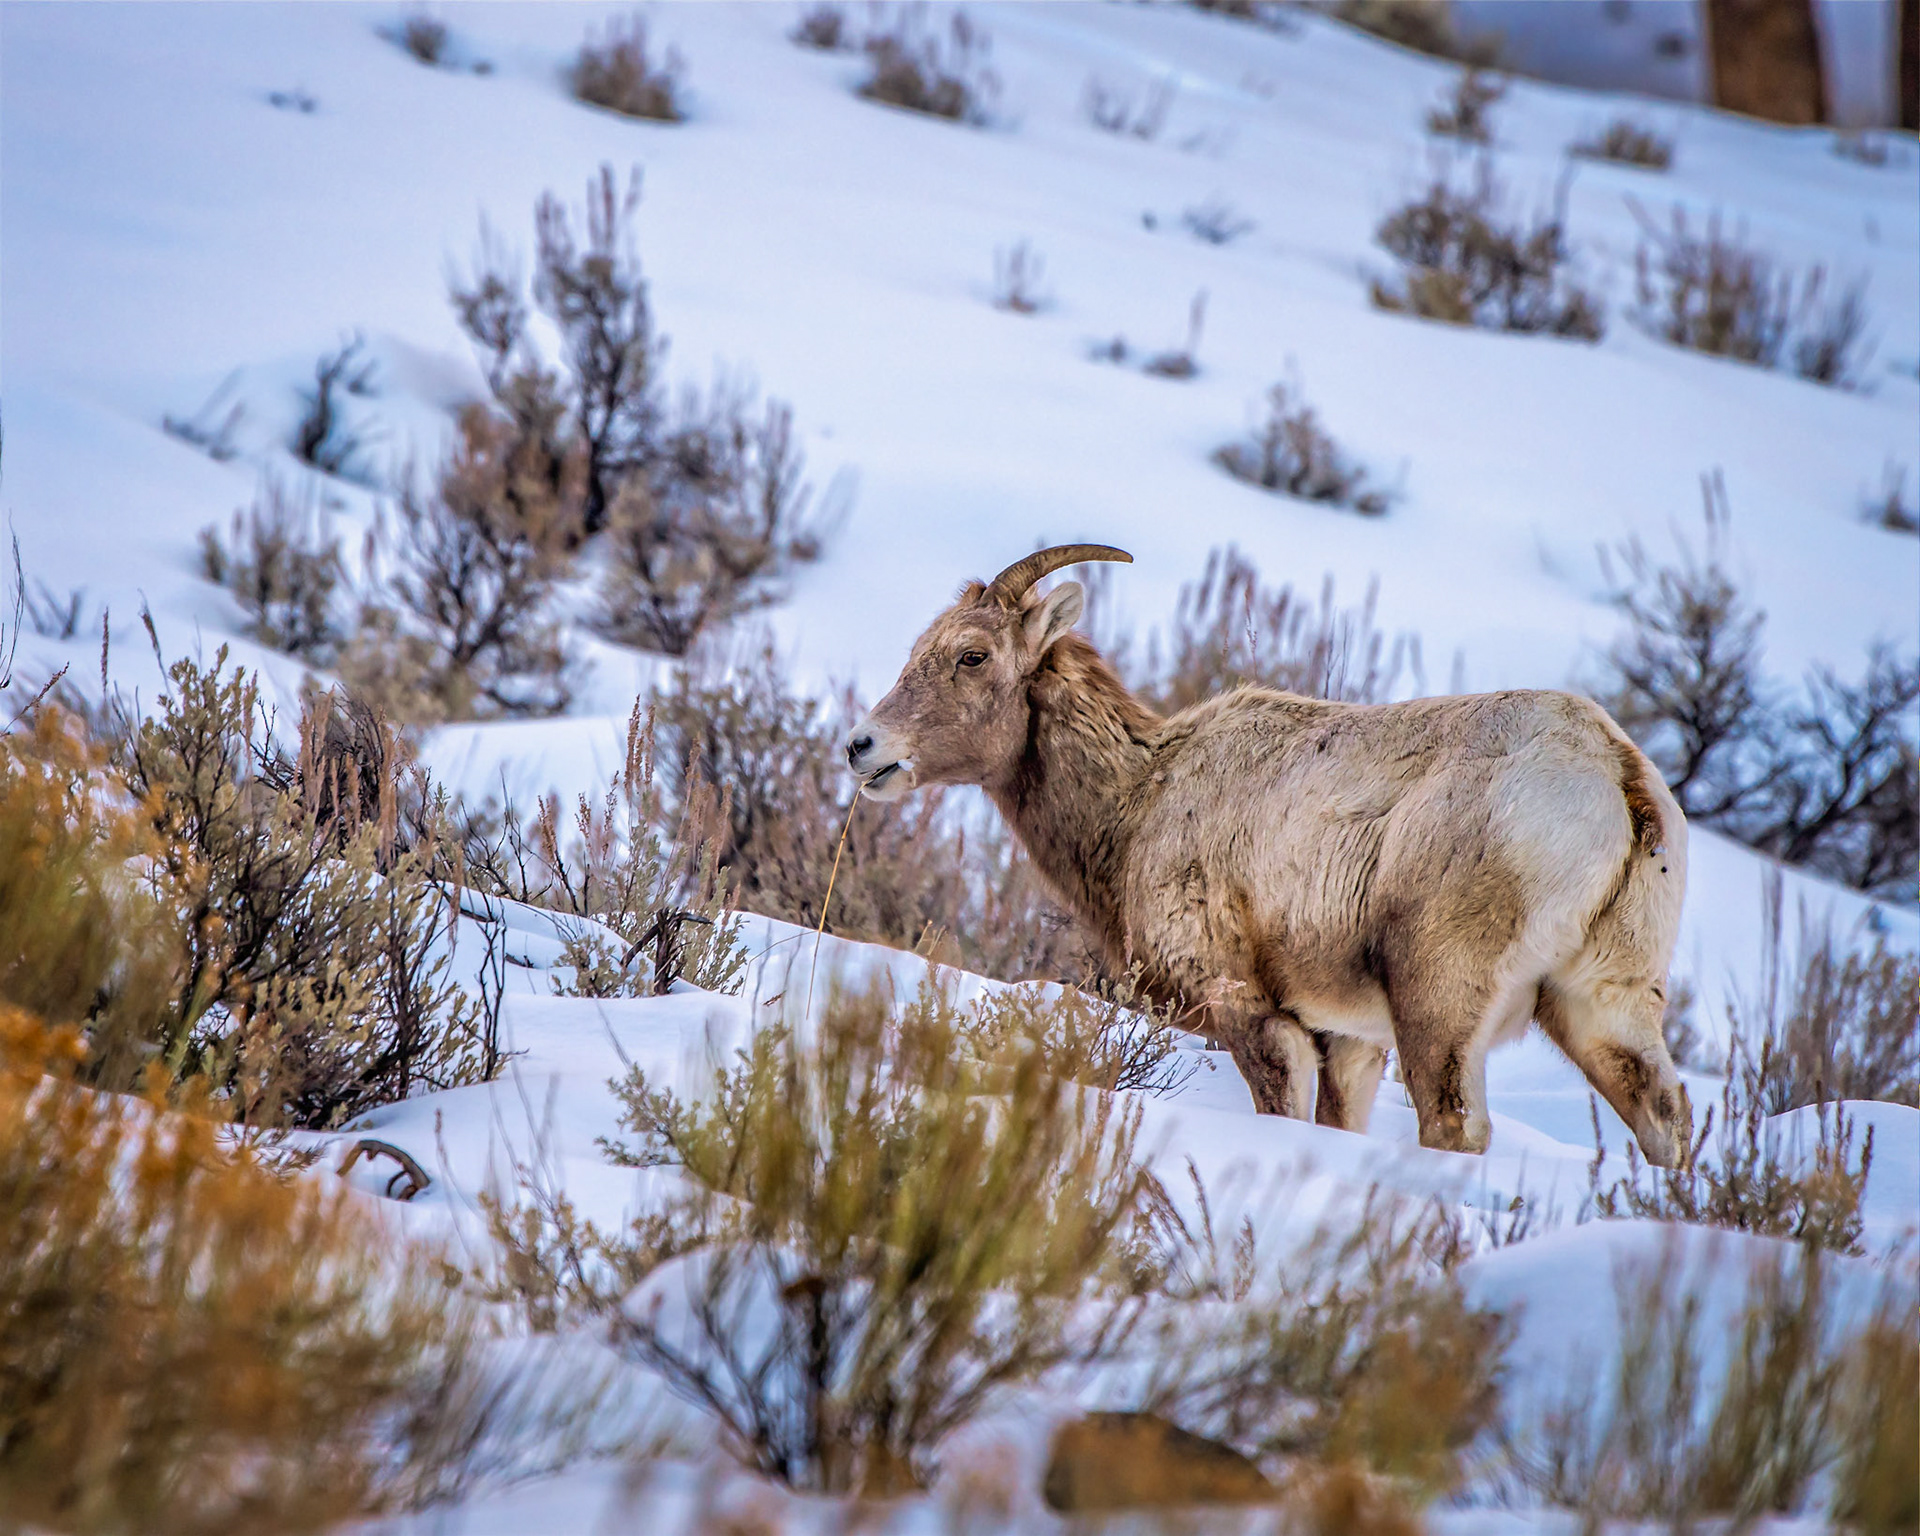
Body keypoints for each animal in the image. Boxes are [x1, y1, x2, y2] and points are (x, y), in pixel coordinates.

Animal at [845, 545, 1694, 1164]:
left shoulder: (1255, 1015)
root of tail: (1617, 777)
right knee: (1666, 1119)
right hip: (1604, 1002)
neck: (1139, 799)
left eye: (972, 656)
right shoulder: (1349, 1039)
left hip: (1441, 1002)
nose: (862, 747)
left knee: (1454, 1126)